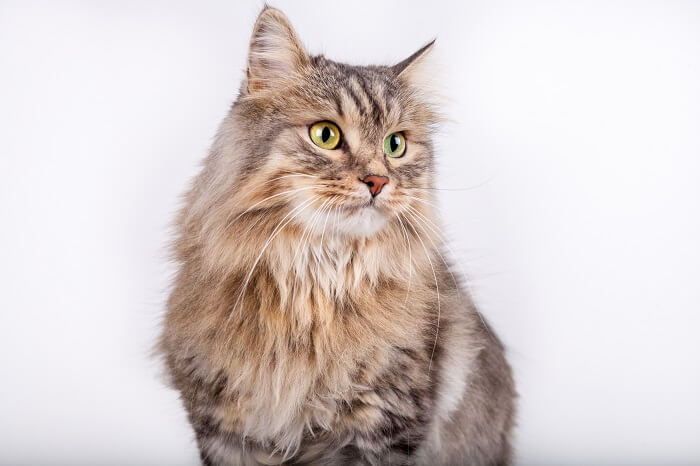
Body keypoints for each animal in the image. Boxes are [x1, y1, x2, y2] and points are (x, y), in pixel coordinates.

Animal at [161, 7, 516, 466]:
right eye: (325, 135)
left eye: (395, 144)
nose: (378, 181)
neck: (314, 283)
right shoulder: (223, 426)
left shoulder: (383, 422)